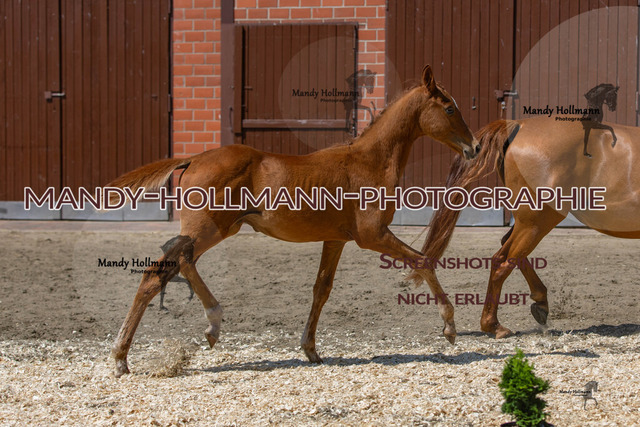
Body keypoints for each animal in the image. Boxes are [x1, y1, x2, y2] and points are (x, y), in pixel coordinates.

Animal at [106, 65, 479, 377]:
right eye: (449, 108)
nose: (474, 147)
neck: (369, 161)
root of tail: (193, 158)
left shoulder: (336, 239)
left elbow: (321, 289)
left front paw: (310, 349)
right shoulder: (372, 235)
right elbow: (424, 260)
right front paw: (450, 327)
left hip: (211, 230)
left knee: (159, 275)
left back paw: (126, 357)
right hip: (210, 229)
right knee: (168, 268)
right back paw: (204, 325)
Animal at [410, 116, 639, 338]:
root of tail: (519, 125)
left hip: (528, 222)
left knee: (507, 252)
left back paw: (538, 303)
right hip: (538, 221)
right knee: (502, 262)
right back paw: (494, 325)